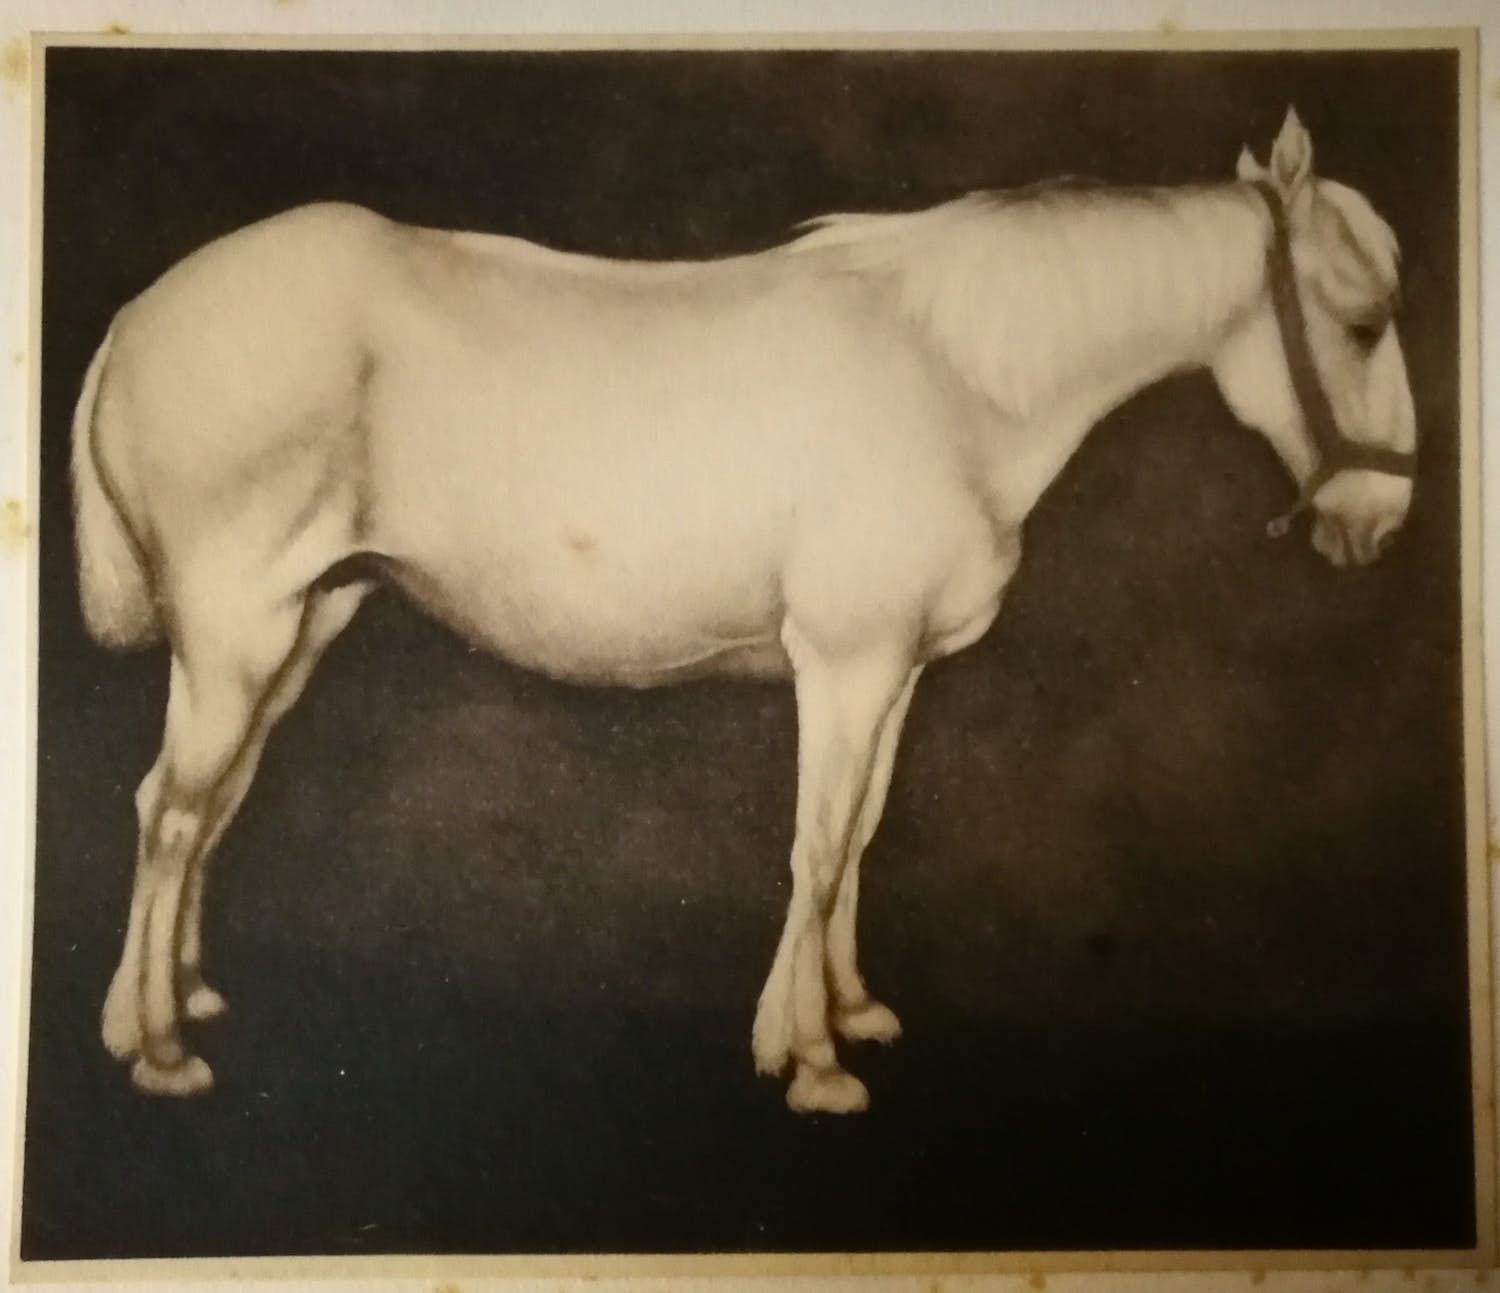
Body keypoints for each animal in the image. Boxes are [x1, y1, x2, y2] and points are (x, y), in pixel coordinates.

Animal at [71, 107, 1416, 1113]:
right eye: (1363, 323)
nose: (1385, 518)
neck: (951, 378)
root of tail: (137, 321)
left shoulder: (896, 673)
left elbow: (860, 834)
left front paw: (855, 1011)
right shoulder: (845, 664)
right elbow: (815, 847)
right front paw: (809, 1058)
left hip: (307, 620)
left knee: (211, 803)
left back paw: (185, 993)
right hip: (239, 631)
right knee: (168, 811)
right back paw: (156, 1046)